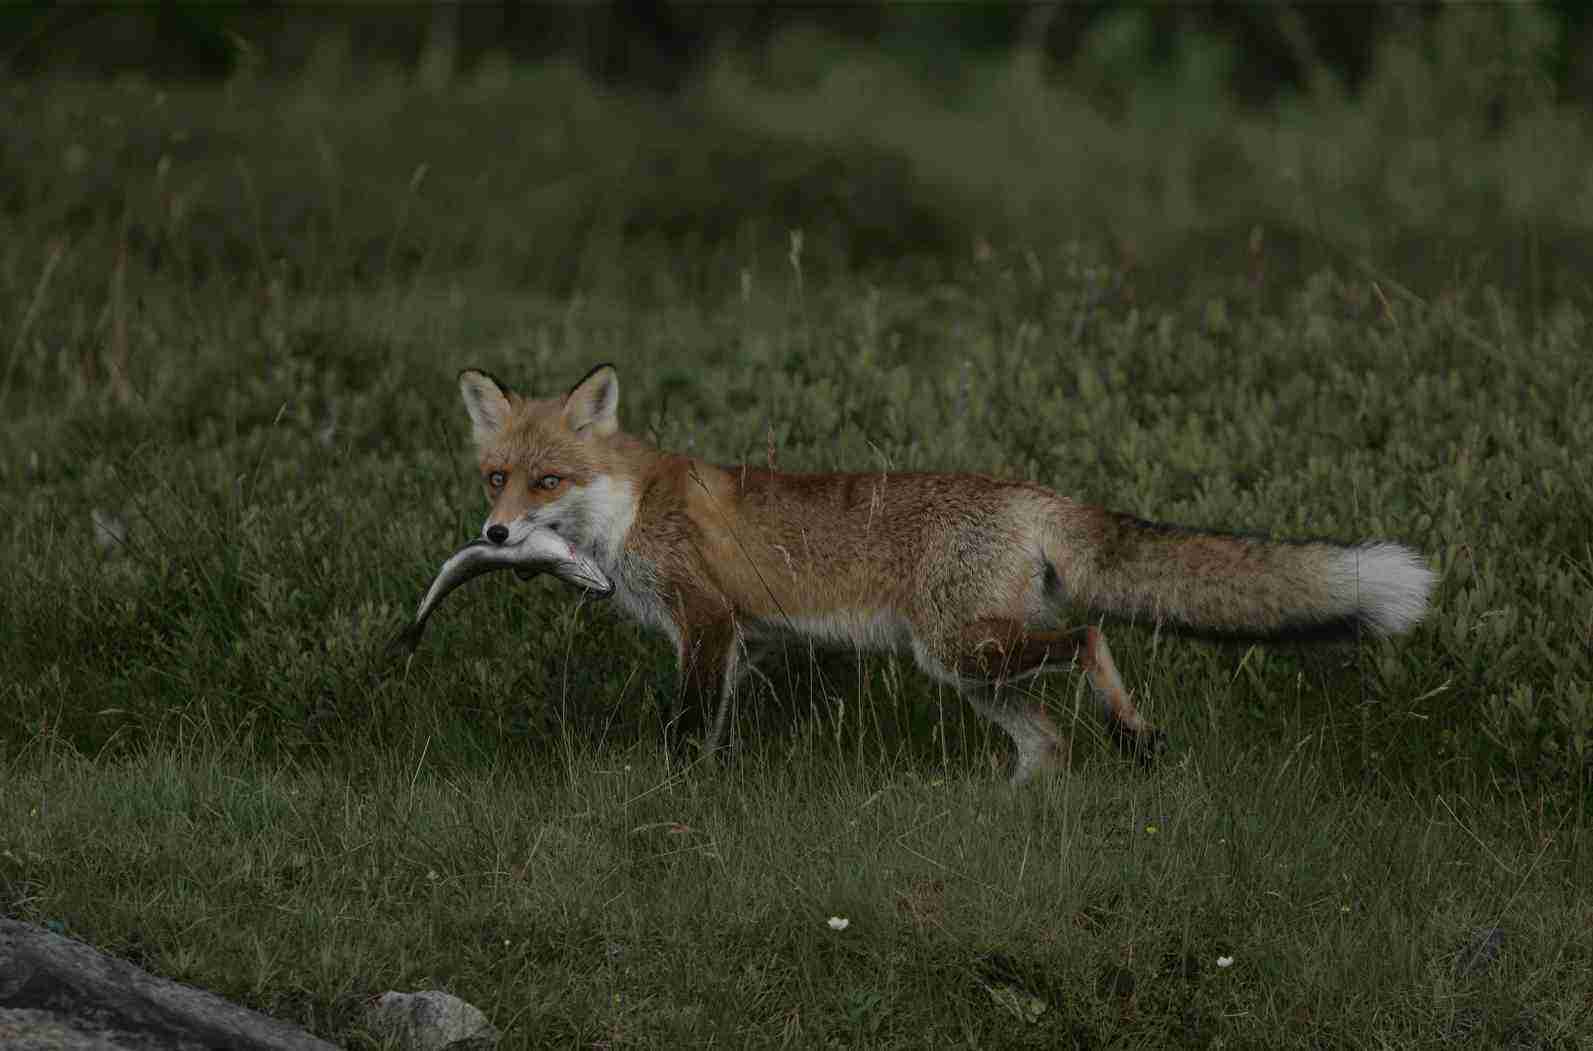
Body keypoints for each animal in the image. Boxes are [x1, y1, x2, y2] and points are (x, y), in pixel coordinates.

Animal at [455, 361, 1440, 780]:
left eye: (548, 480)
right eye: (496, 476)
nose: (494, 533)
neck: (627, 506)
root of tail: (1032, 491)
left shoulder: (706, 621)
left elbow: (684, 730)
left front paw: (670, 795)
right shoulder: (729, 641)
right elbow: (717, 733)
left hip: (962, 649)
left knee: (1089, 638)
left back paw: (1131, 730)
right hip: (970, 667)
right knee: (1048, 740)